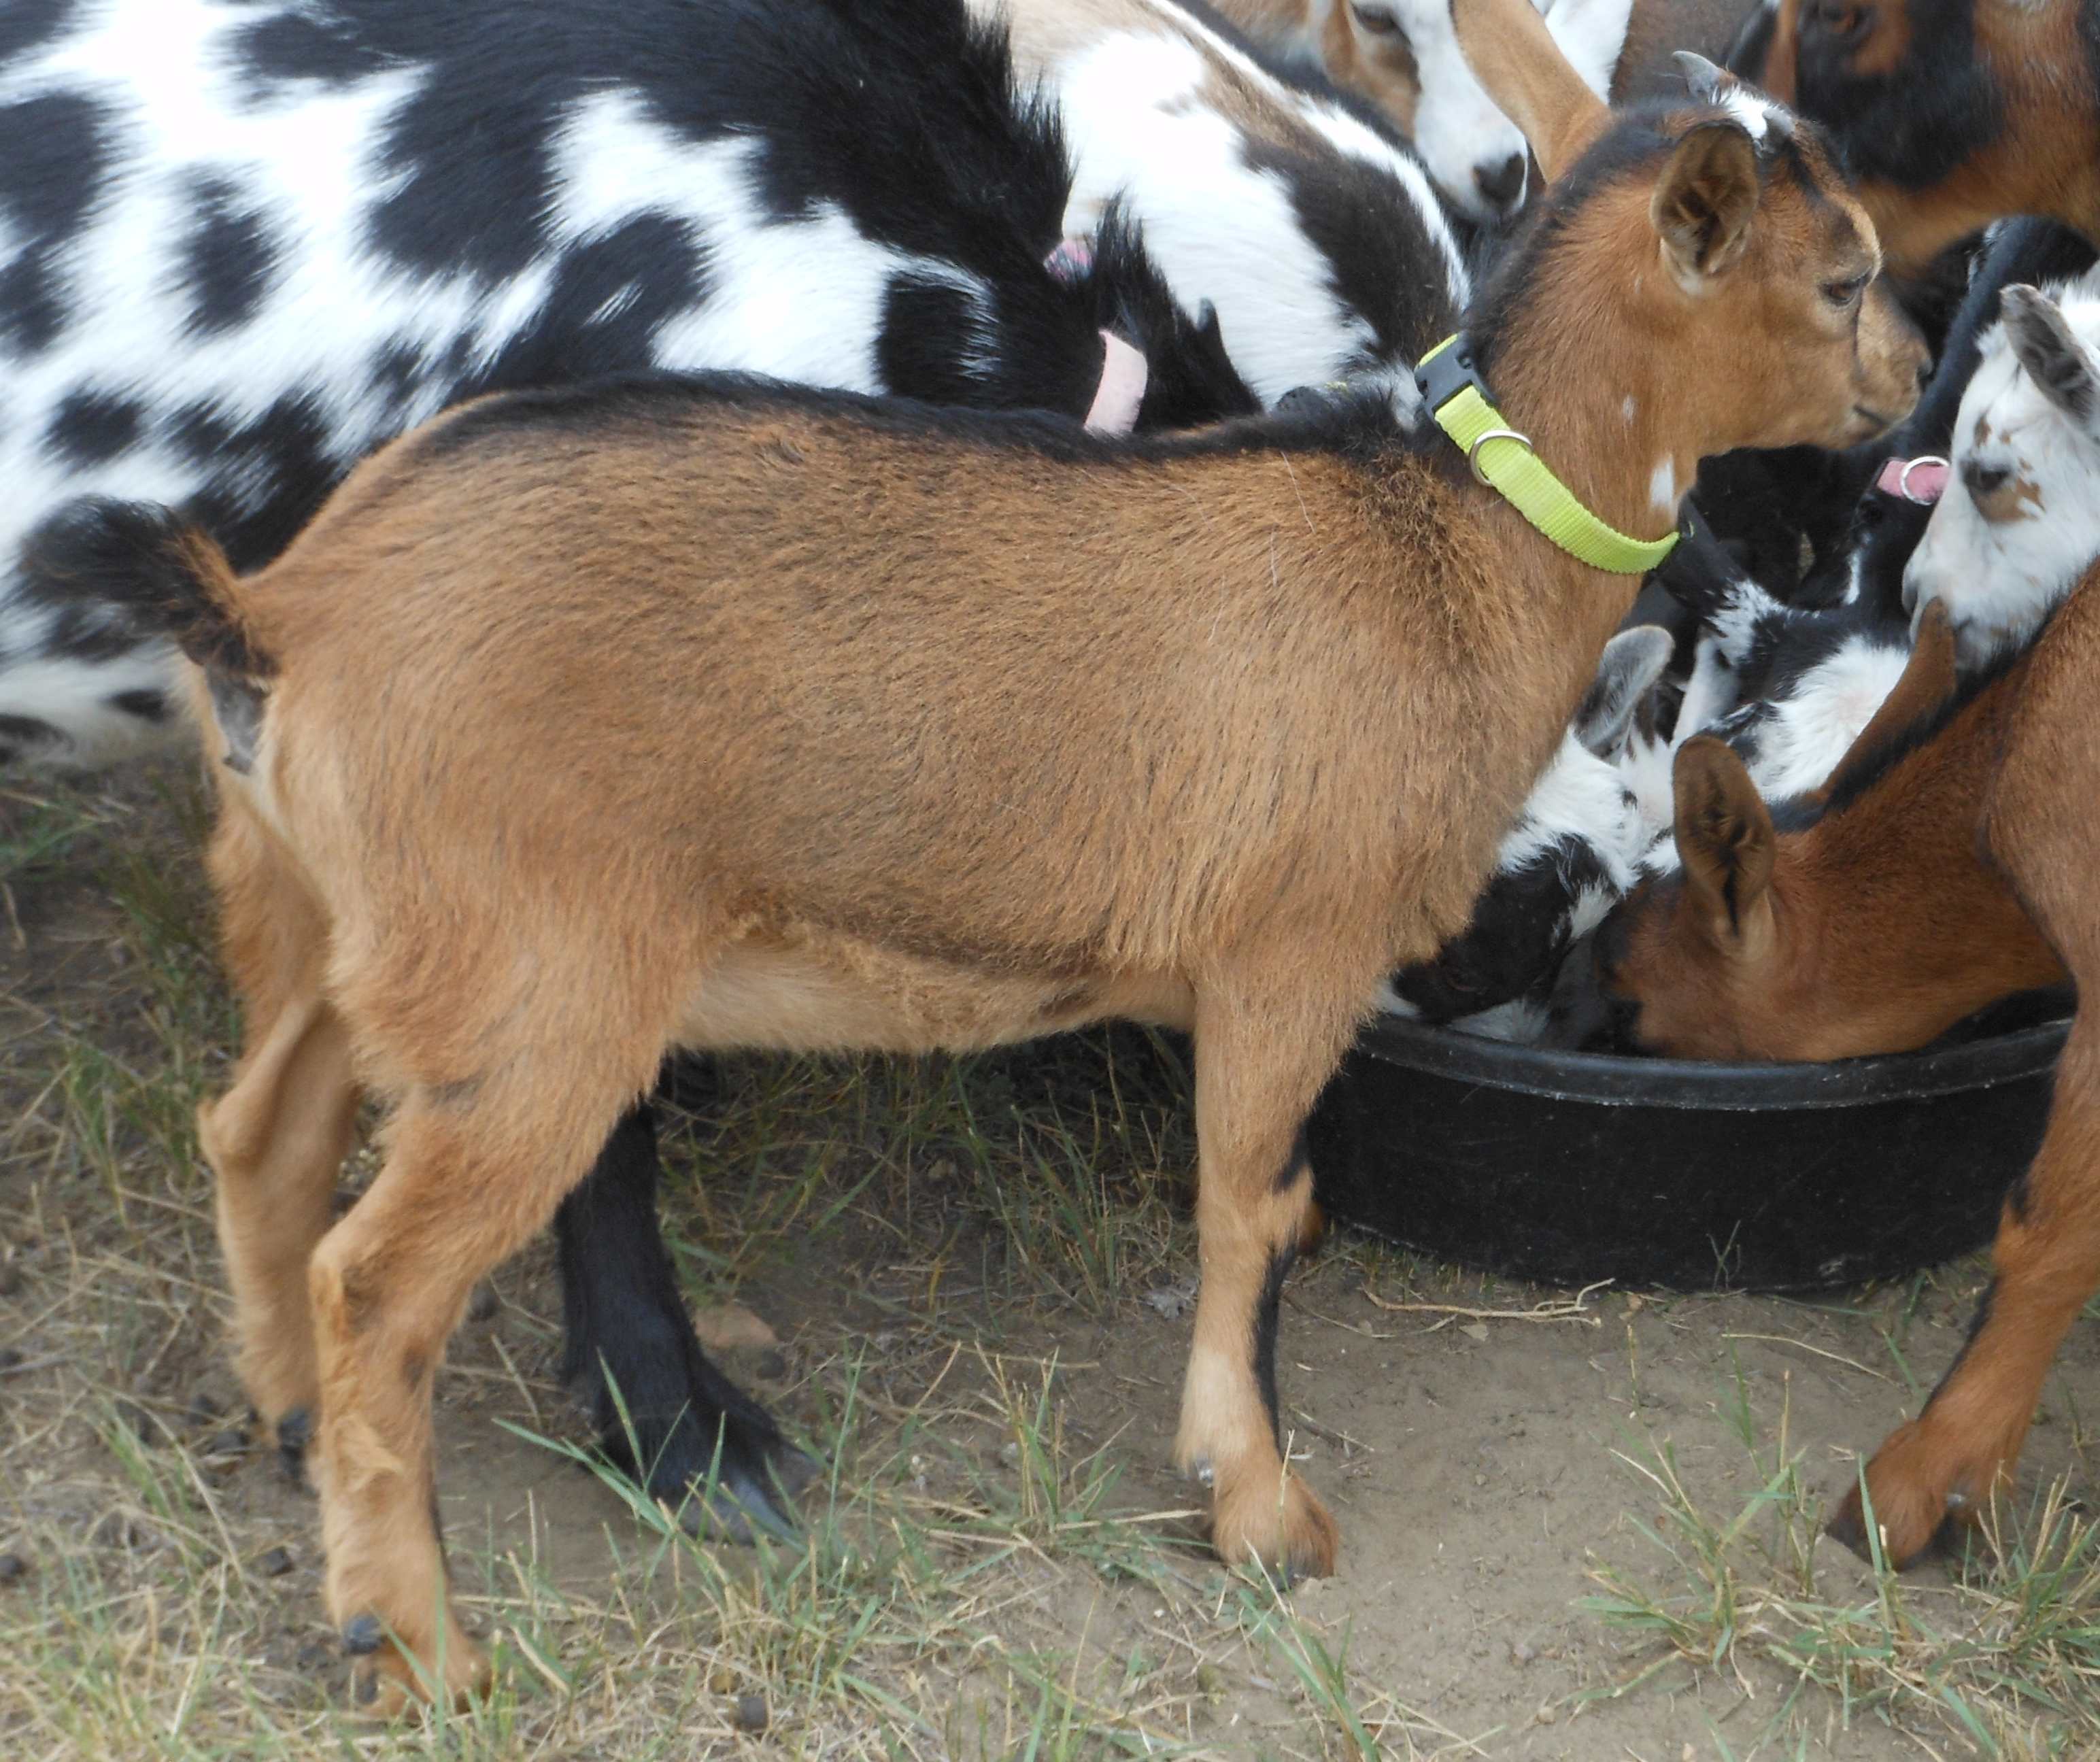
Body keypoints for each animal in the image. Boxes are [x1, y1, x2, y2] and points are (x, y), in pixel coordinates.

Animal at [39, 8, 1922, 1708]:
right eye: (1840, 278)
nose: (1909, 382)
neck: (1440, 546)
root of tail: (285, 615)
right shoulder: (1290, 946)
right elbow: (1255, 1210)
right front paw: (1259, 1507)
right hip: (538, 988)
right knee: (378, 1282)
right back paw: (420, 1643)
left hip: (339, 914)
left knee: (260, 1129)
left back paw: (286, 1423)